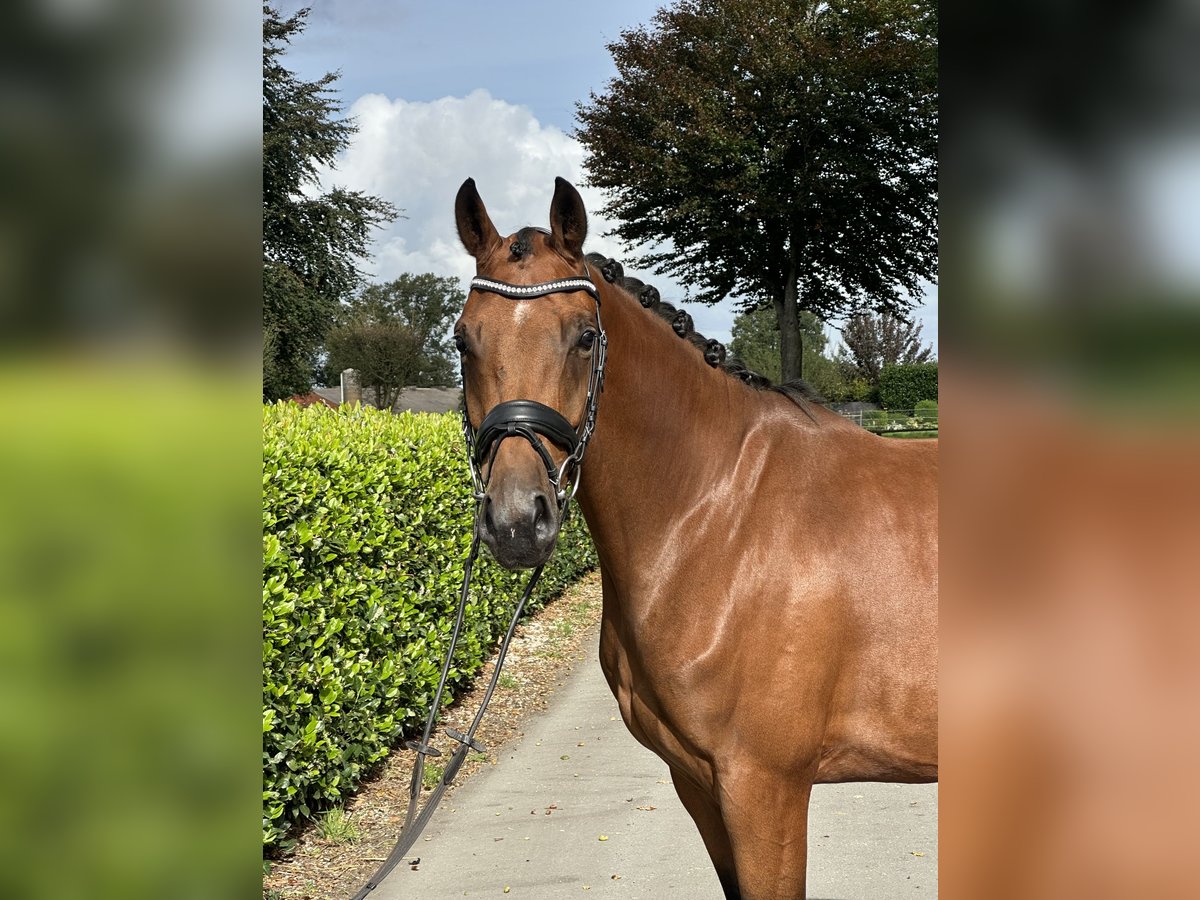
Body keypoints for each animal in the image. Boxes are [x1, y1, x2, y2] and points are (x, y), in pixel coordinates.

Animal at [452, 176, 938, 900]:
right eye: (463, 341)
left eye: (585, 337)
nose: (516, 522)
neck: (724, 517)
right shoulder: (696, 783)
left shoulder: (764, 789)